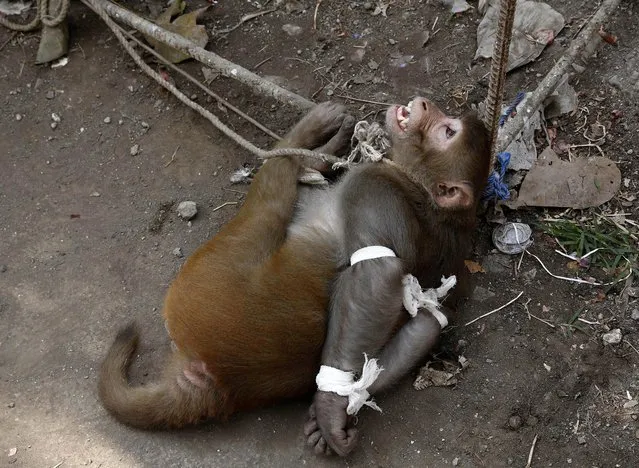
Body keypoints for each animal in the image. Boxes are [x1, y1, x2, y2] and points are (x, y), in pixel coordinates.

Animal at [97, 98, 492, 458]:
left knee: (273, 195)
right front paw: (331, 411)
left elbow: (378, 271)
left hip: (206, 284)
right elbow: (427, 322)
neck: (419, 186)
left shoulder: (373, 187)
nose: (425, 104)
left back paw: (304, 140)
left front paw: (330, 412)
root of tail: (220, 384)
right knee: (424, 322)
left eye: (447, 132)